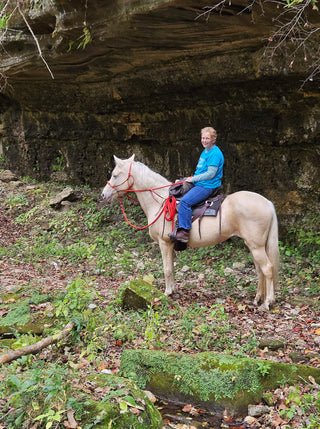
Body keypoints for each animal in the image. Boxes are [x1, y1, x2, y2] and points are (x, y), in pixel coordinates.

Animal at [101, 154, 278, 308]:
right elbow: (172, 268)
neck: (160, 202)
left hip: (256, 247)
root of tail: (268, 203)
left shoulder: (164, 244)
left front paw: (167, 293)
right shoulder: (171, 245)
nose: (104, 195)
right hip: (254, 246)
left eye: (115, 175)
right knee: (260, 271)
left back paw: (267, 302)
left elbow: (166, 269)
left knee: (268, 269)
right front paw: (172, 290)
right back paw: (257, 299)